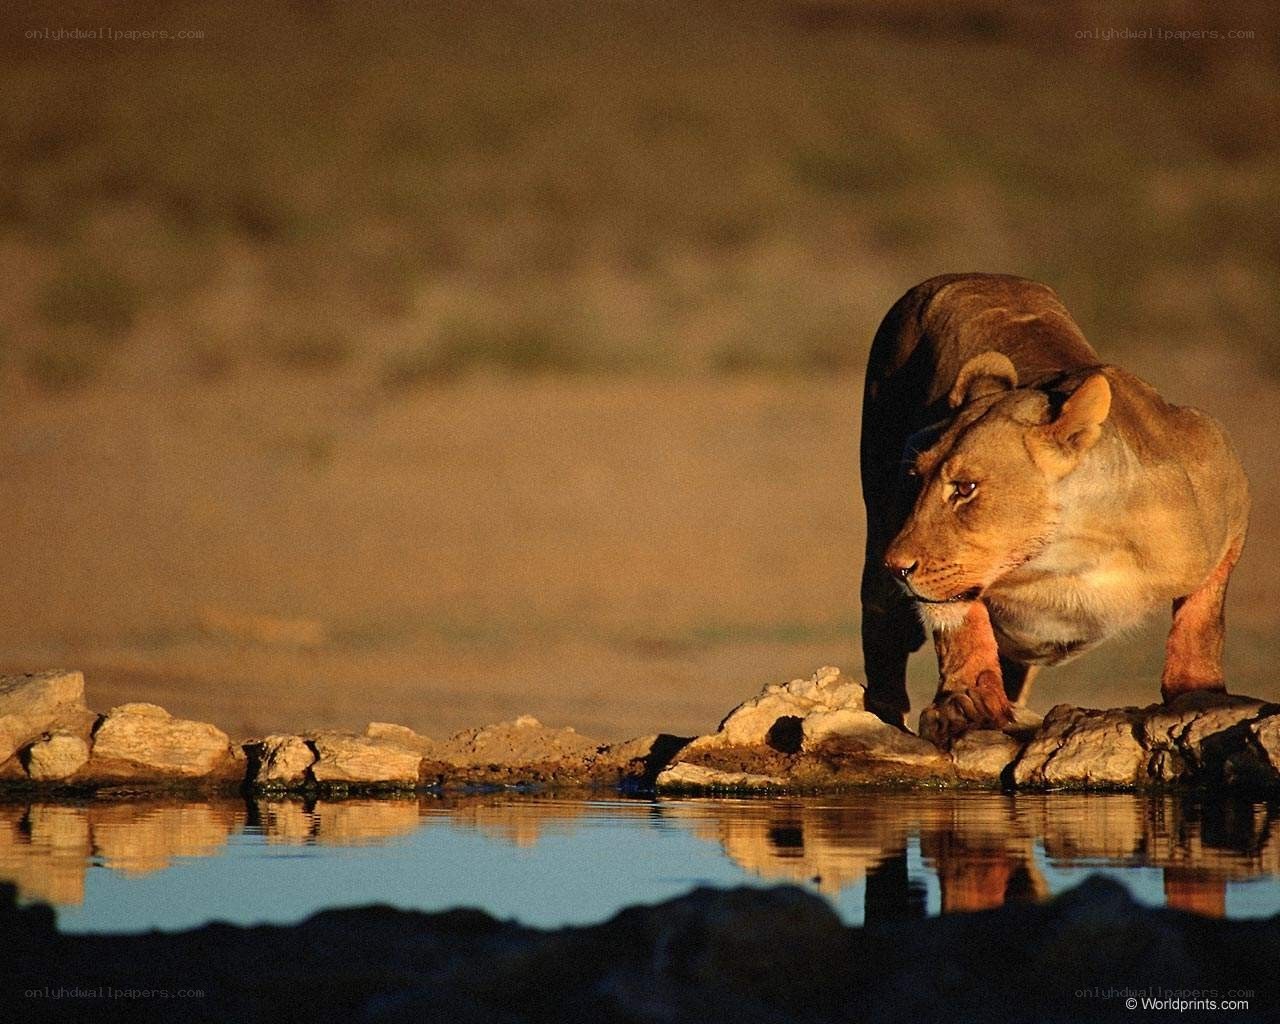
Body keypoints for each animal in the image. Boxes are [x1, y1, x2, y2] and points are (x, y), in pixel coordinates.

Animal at [859, 273, 1250, 747]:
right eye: (916, 478)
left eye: (965, 488)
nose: (897, 566)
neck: (1068, 555)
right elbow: (962, 623)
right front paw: (966, 704)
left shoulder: (1225, 484)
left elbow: (1203, 616)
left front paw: (1199, 692)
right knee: (881, 631)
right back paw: (883, 714)